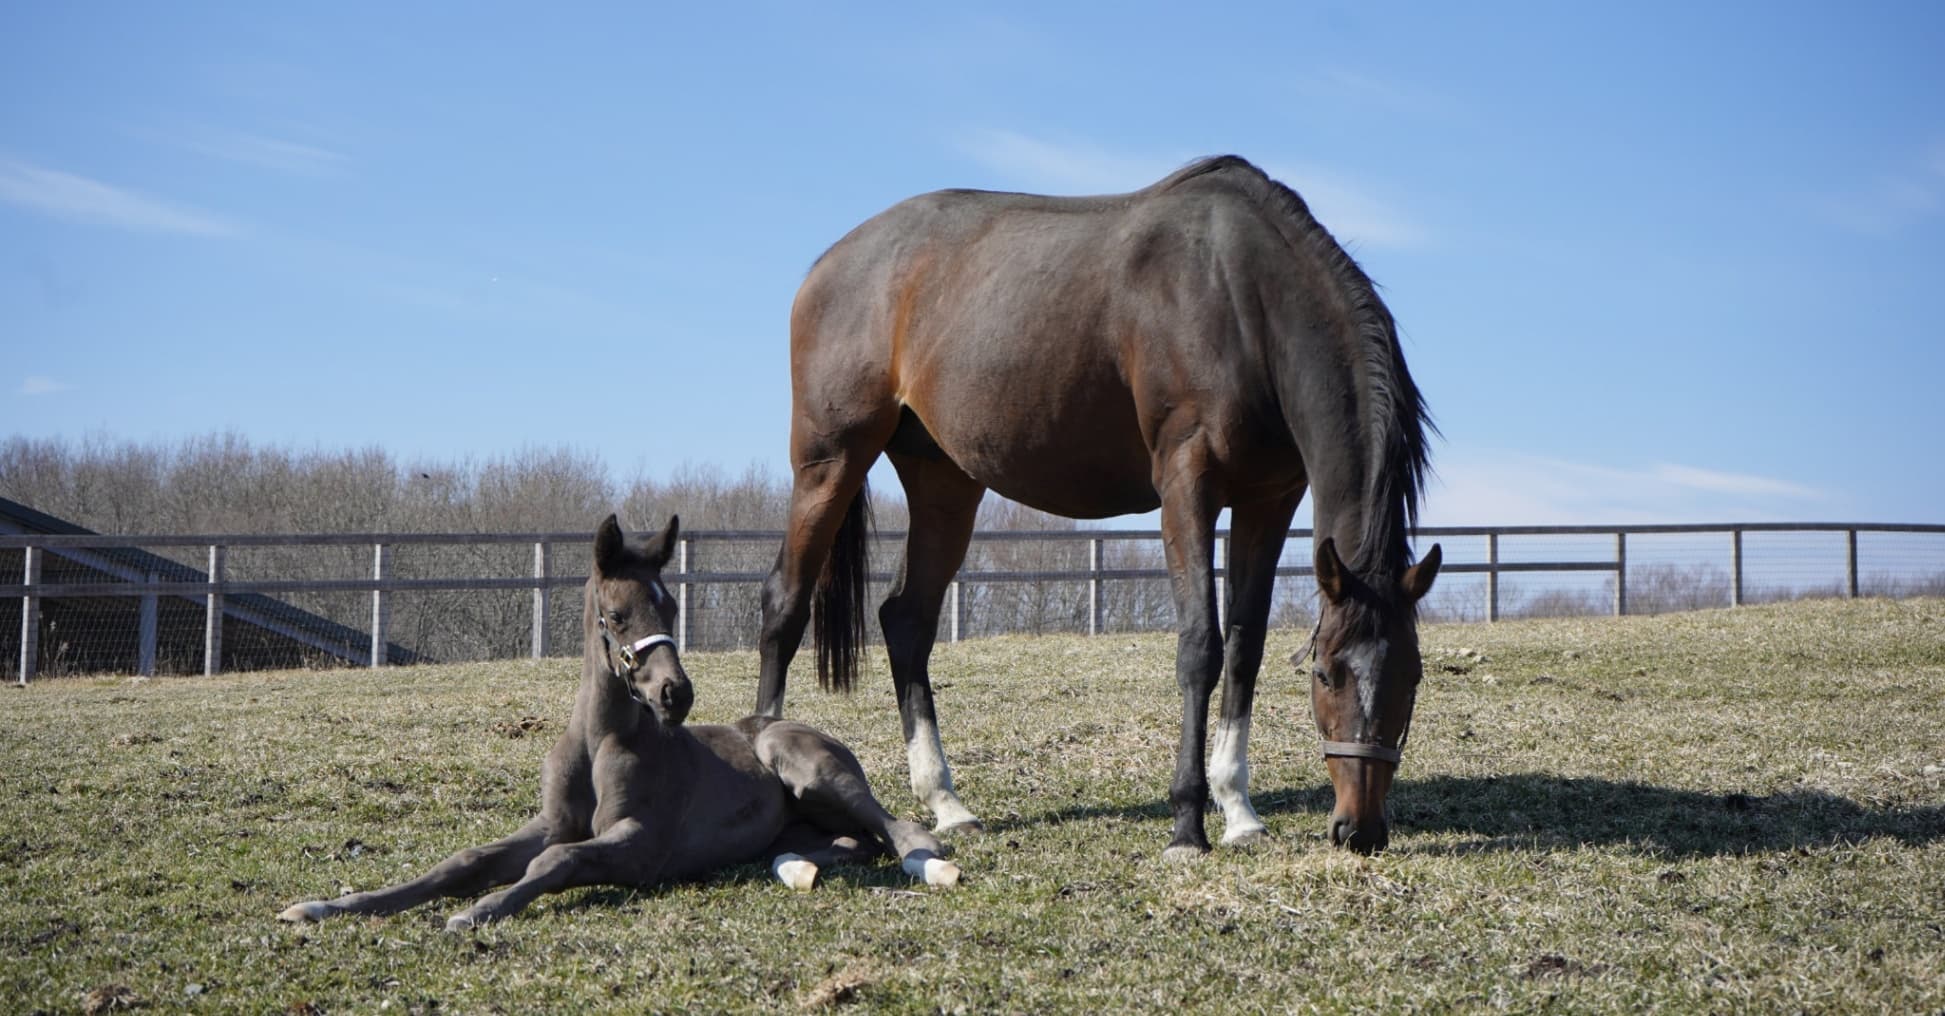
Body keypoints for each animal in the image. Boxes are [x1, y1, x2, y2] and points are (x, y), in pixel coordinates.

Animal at [280, 515, 958, 931]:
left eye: (672, 605)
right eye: (615, 614)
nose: (676, 693)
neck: (598, 739)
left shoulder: (640, 841)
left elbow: (555, 863)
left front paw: (480, 910)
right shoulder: (551, 822)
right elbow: (465, 859)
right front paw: (326, 905)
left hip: (805, 766)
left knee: (895, 830)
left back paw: (929, 863)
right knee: (847, 843)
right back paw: (797, 866)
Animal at [755, 155, 1441, 857]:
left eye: (1412, 677)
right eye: (1328, 675)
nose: (1360, 829)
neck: (1242, 298)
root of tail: (828, 264)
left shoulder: (1268, 500)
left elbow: (1245, 649)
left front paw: (1239, 812)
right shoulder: (1186, 485)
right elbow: (1202, 645)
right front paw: (1188, 823)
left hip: (943, 481)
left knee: (906, 621)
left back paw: (947, 803)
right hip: (829, 462)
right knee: (785, 604)